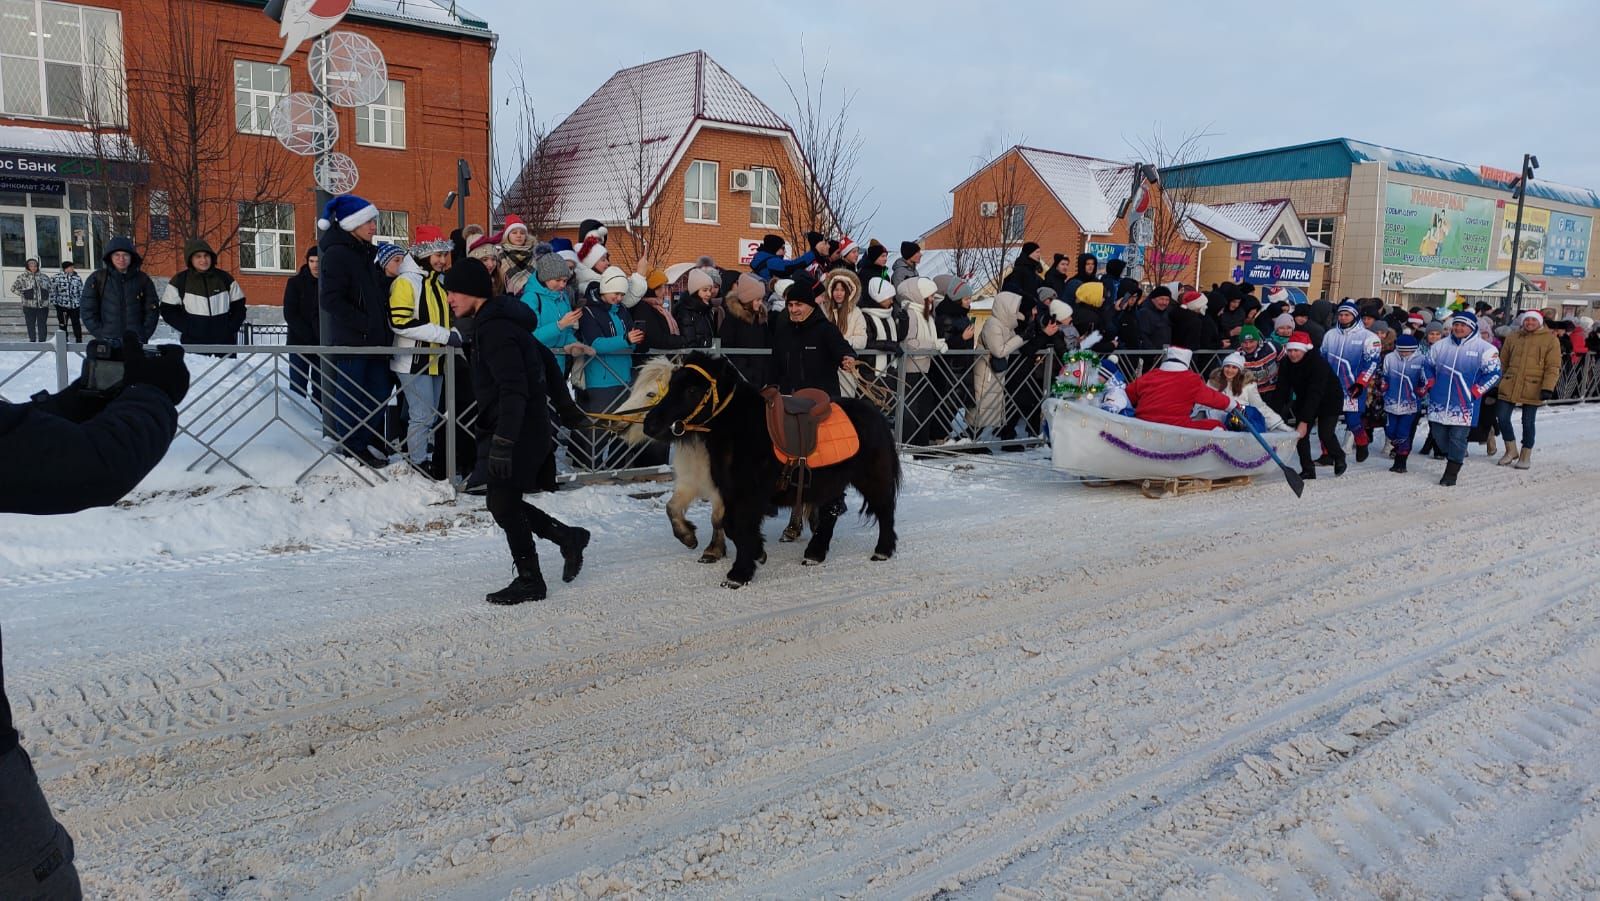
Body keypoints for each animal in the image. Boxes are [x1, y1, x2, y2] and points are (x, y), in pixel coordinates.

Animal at [646, 352, 902, 592]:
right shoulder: (729, 492)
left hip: (872, 478)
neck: (742, 428)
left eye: (691, 389)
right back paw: (814, 554)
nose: (650, 424)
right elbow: (730, 526)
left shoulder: (748, 495)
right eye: (671, 384)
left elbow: (738, 527)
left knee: (884, 510)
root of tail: (878, 415)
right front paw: (757, 553)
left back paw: (882, 550)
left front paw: (738, 575)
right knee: (831, 512)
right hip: (831, 483)